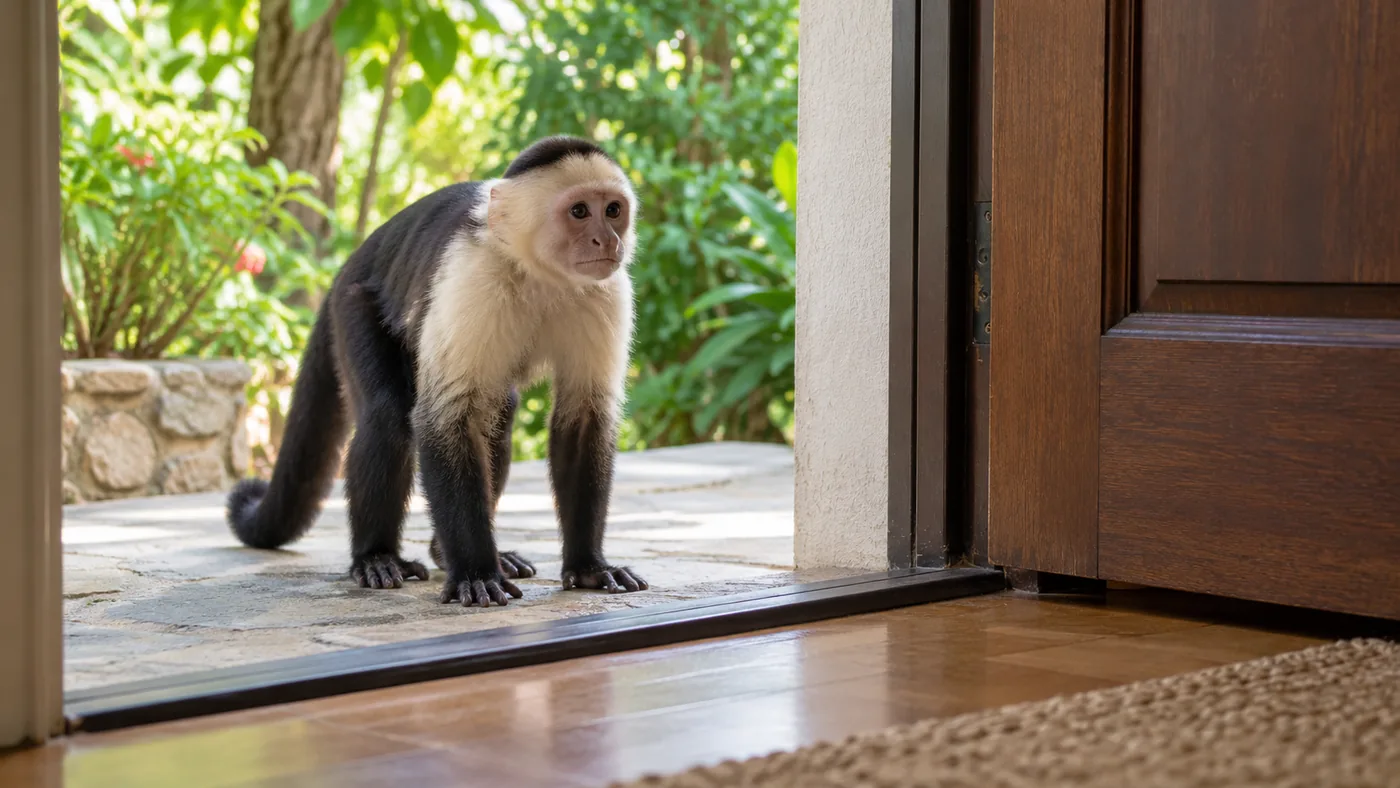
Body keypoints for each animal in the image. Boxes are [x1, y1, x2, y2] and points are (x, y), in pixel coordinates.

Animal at [225, 135, 648, 608]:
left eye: (613, 209)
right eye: (579, 212)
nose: (606, 239)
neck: (537, 271)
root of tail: (347, 265)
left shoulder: (606, 292)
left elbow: (583, 419)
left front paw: (589, 566)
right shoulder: (473, 278)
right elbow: (444, 420)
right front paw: (476, 573)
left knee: (497, 418)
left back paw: (445, 551)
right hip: (352, 303)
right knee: (387, 414)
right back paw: (376, 556)